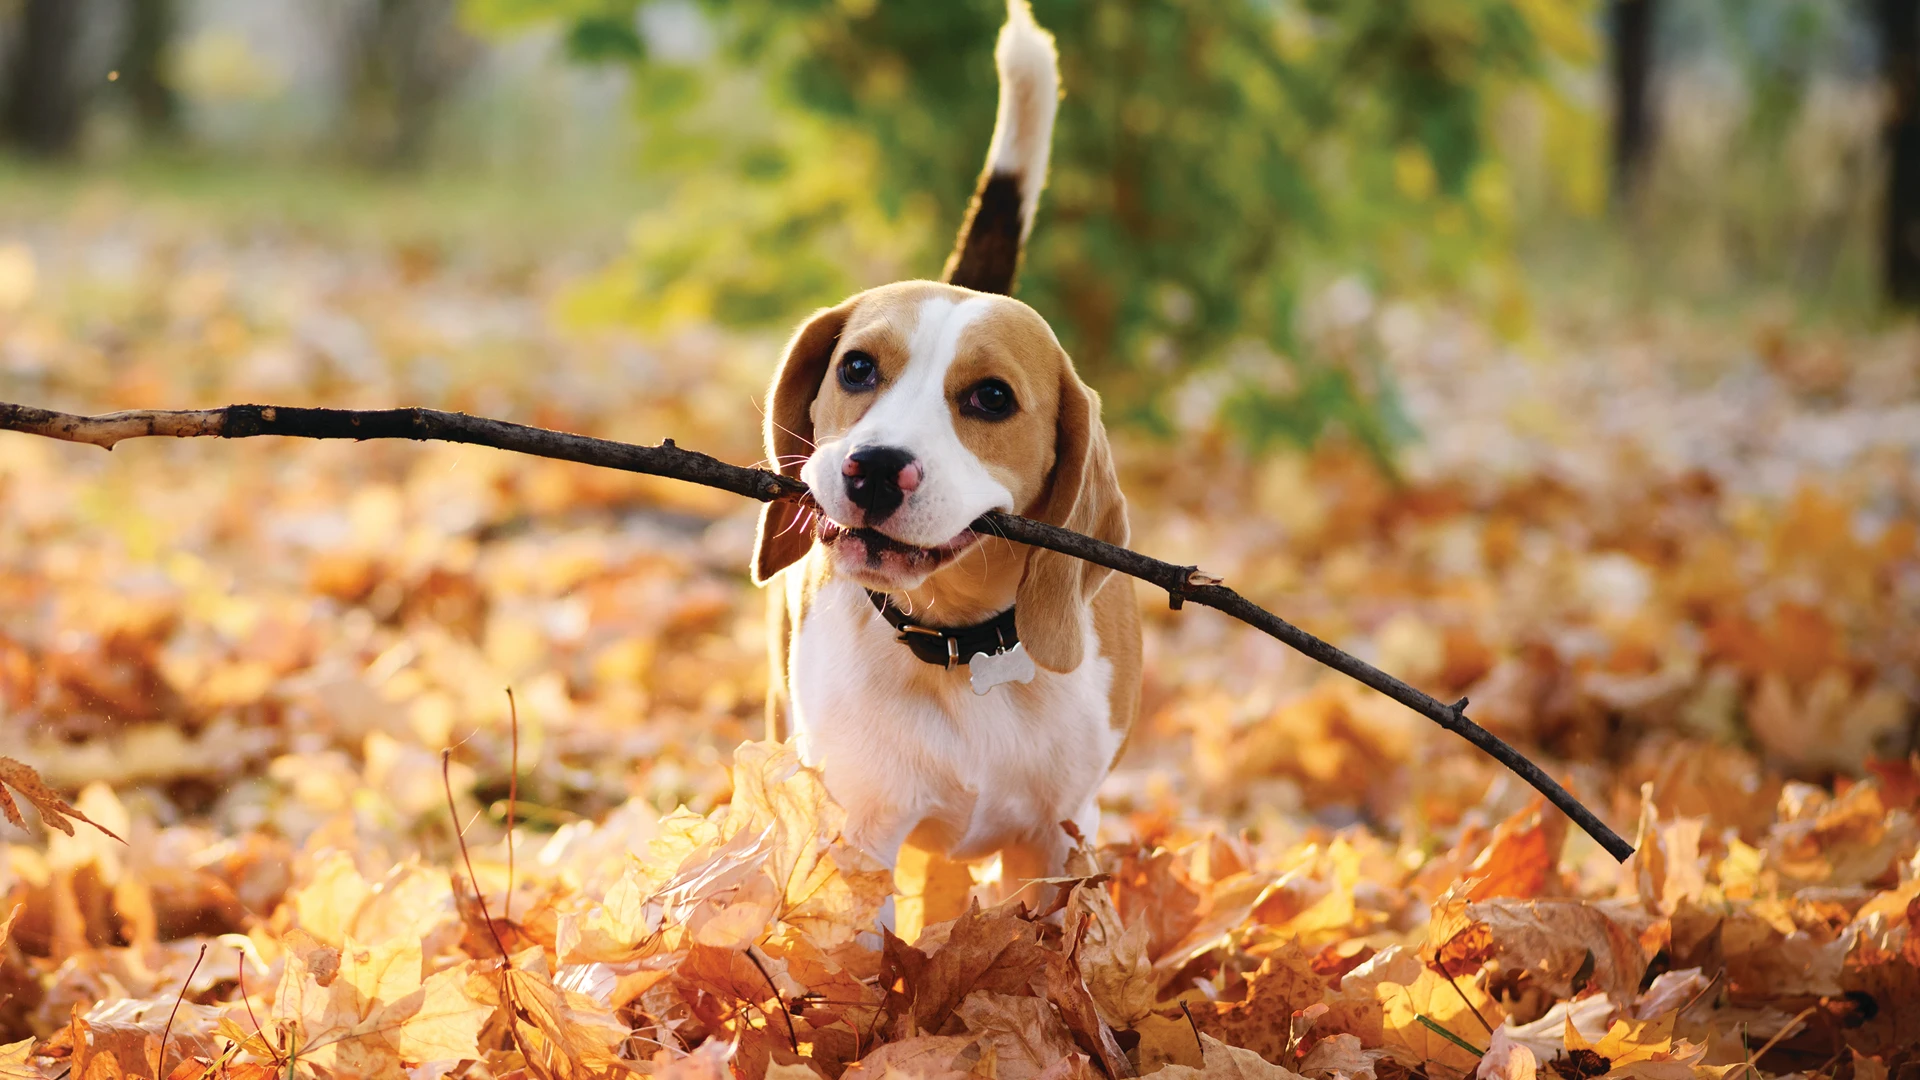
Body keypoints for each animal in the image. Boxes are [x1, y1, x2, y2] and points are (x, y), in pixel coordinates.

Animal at [748, 0, 1136, 883]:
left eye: (991, 398)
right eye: (856, 368)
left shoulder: (1057, 840)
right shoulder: (859, 831)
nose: (873, 469)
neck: (961, 647)